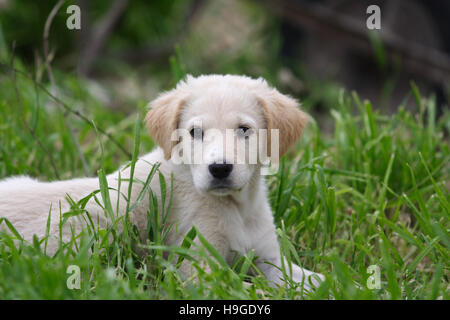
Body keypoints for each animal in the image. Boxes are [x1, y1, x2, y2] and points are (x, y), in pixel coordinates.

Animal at [0, 75, 324, 292]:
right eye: (195, 132)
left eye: (244, 130)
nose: (219, 169)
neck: (237, 208)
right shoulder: (196, 265)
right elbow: (239, 288)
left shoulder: (268, 259)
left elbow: (309, 279)